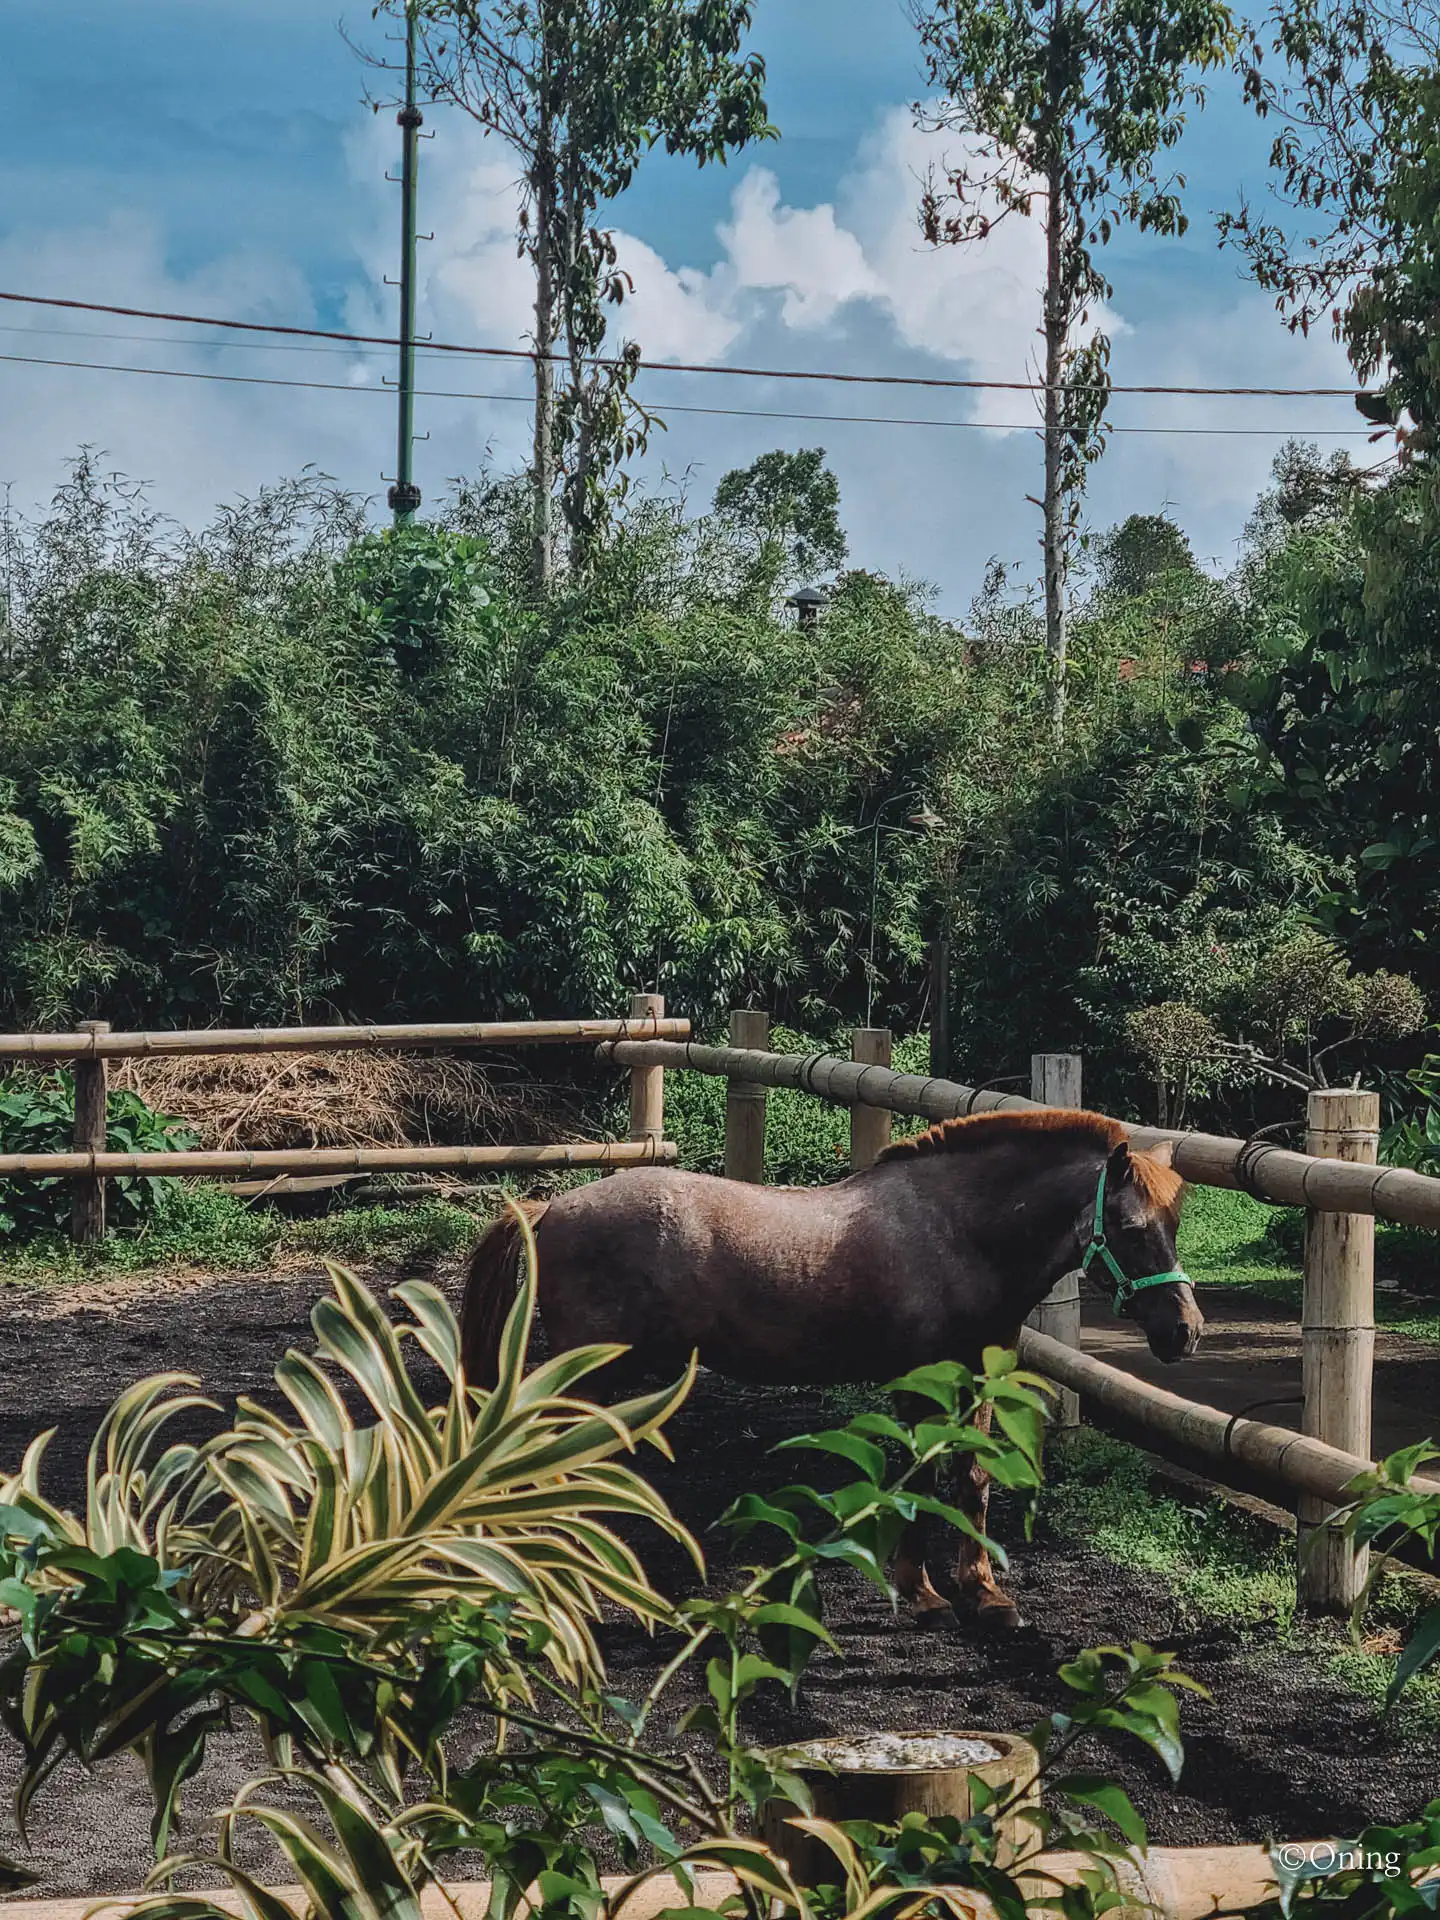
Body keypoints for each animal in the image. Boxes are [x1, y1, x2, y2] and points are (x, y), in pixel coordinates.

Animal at [464, 1105, 1205, 1628]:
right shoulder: (918, 1384)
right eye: (1133, 1227)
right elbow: (919, 1483)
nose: (1185, 1331)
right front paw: (923, 1594)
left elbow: (971, 1479)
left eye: (1175, 1221)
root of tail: (552, 1208)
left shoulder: (977, 1379)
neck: (956, 1235)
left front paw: (985, 1595)